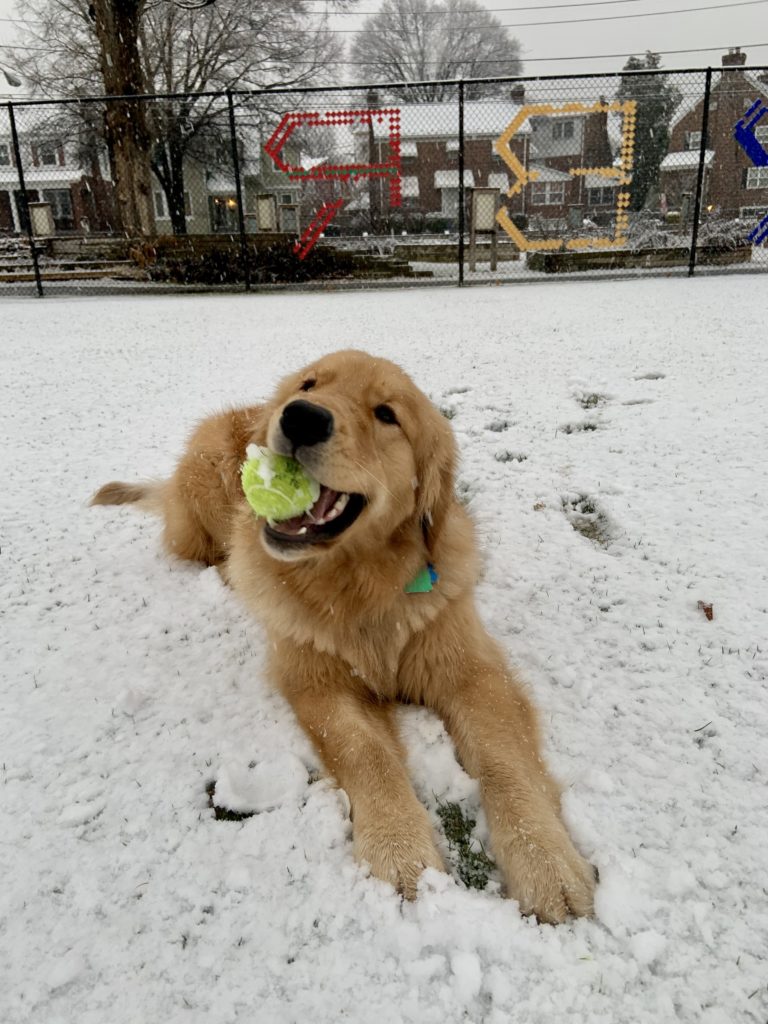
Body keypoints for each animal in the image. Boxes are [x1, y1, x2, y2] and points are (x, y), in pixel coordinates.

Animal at [92, 349, 595, 922]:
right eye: (309, 384)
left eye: (386, 414)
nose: (301, 417)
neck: (359, 588)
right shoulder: (316, 679)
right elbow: (366, 755)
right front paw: (400, 852)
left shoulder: (471, 669)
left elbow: (504, 757)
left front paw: (547, 860)